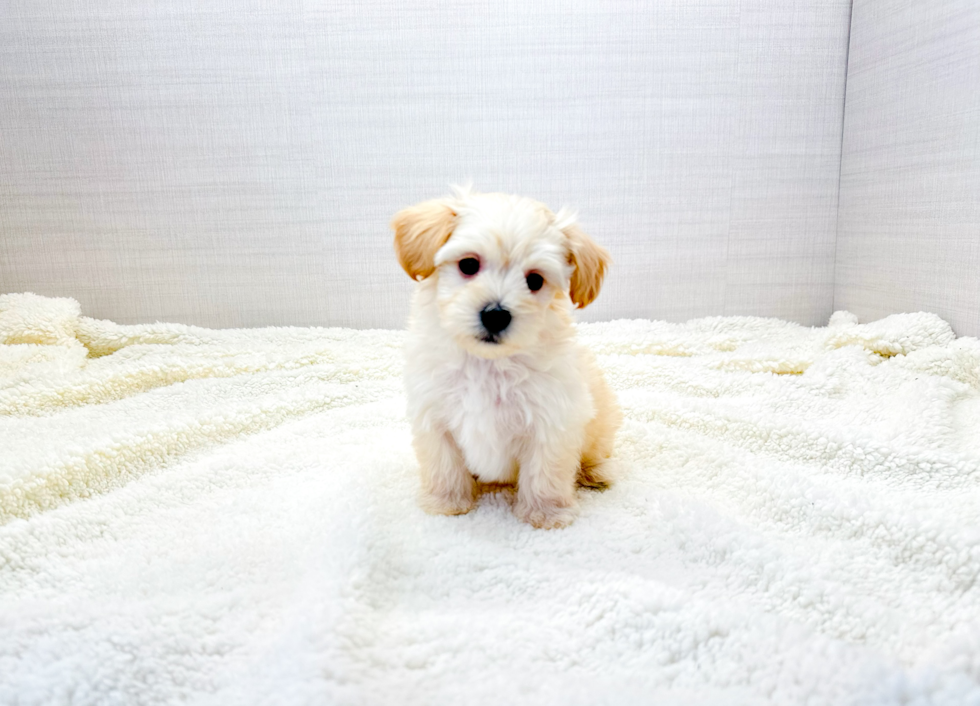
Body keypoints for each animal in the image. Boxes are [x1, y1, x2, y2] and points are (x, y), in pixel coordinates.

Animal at [390, 187, 620, 528]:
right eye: (468, 264)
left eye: (535, 281)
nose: (496, 315)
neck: (488, 362)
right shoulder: (434, 416)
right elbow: (444, 465)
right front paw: (446, 502)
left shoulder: (552, 420)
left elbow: (545, 472)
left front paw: (545, 513)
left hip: (600, 420)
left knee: (596, 450)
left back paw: (596, 473)